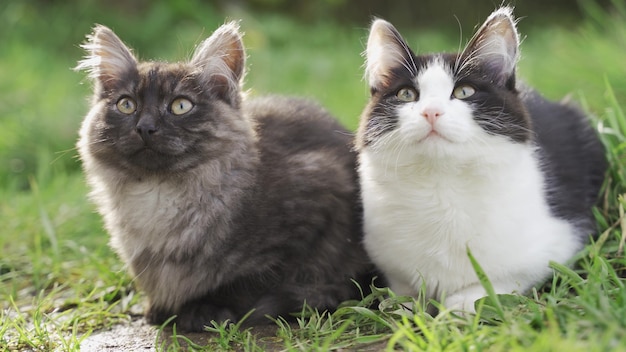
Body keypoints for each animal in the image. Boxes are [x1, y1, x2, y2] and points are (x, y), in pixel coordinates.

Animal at [75, 22, 372, 332]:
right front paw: (159, 308)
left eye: (181, 106)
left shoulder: (318, 198)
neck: (159, 194)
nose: (145, 127)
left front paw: (201, 308)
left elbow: (246, 282)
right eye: (126, 105)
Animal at [356, 6, 604, 312]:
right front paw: (405, 306)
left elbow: (501, 278)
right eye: (406, 94)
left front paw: (459, 305)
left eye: (464, 92)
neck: (441, 186)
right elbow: (402, 291)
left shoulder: (560, 240)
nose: (431, 111)